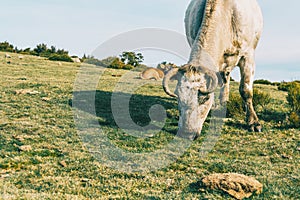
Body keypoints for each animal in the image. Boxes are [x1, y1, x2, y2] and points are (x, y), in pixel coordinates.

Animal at [163, 0, 264, 139]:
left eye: (205, 98)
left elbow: (246, 90)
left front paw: (253, 122)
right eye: (178, 97)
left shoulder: (247, 56)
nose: (186, 133)